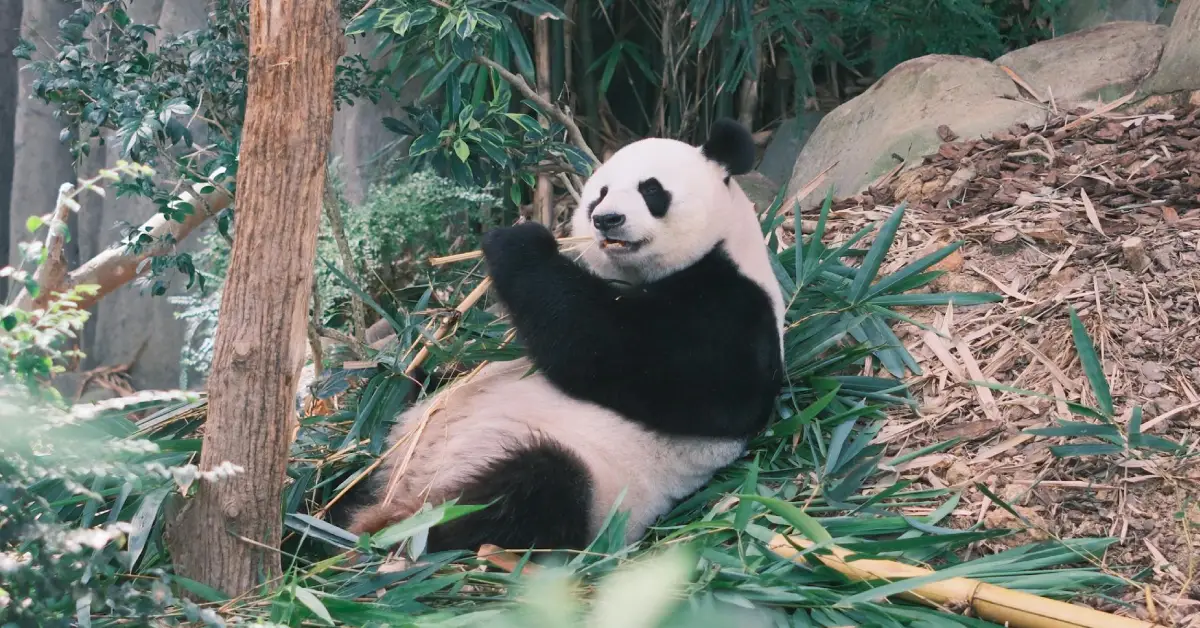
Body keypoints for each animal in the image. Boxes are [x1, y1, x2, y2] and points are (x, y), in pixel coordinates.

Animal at [347, 119, 785, 554]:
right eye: (600, 194)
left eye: (651, 190)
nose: (607, 219)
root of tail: (405, 492)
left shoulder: (734, 312)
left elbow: (613, 349)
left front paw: (518, 241)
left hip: (589, 481)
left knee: (529, 492)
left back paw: (392, 536)